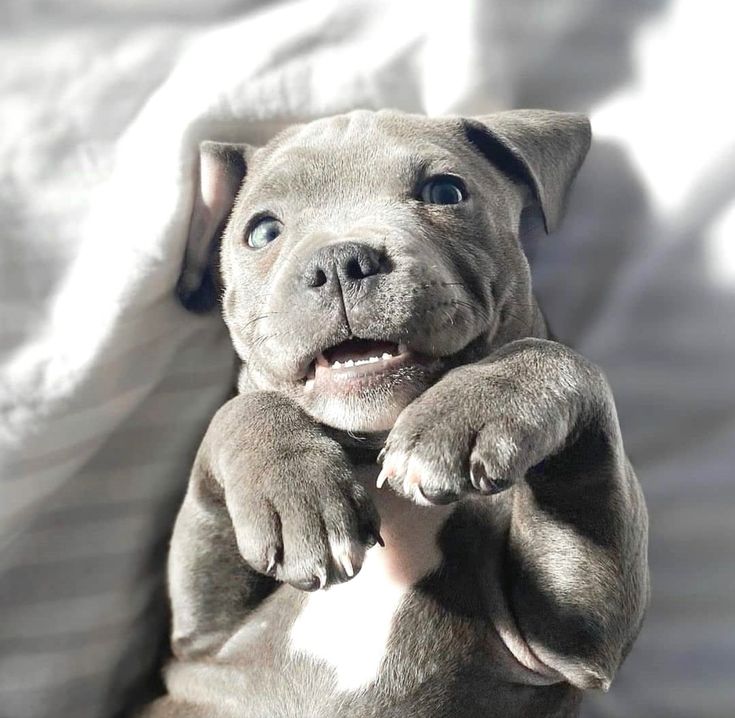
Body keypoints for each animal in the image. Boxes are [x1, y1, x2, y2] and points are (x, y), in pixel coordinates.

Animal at [145, 108, 648, 718]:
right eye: (263, 231)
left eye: (446, 191)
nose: (340, 260)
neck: (372, 443)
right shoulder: (199, 637)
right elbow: (236, 411)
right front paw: (296, 493)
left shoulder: (574, 644)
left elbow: (565, 362)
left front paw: (459, 415)